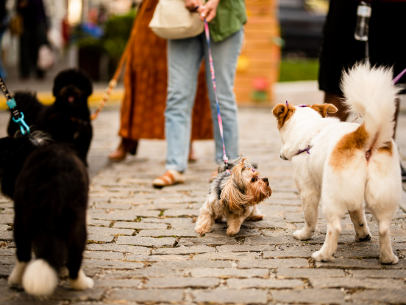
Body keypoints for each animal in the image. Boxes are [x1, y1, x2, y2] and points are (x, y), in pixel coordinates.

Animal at [272, 63, 402, 262]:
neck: (310, 129)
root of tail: (362, 138)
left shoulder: (308, 192)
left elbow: (310, 220)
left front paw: (304, 235)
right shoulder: (354, 195)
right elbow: (358, 217)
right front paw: (363, 235)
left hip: (331, 195)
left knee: (335, 227)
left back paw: (322, 255)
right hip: (382, 194)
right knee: (384, 228)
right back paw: (388, 258)